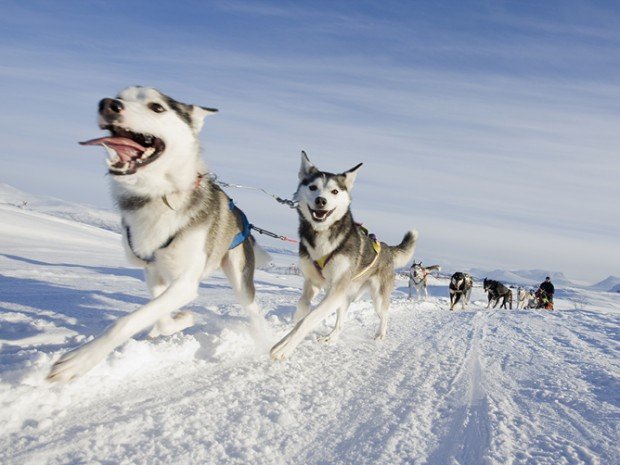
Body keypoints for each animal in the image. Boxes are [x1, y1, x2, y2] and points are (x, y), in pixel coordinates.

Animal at [46, 86, 264, 380]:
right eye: (120, 96)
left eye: (157, 107)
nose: (108, 104)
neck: (158, 196)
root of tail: (242, 218)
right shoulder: (153, 271)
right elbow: (159, 315)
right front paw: (182, 319)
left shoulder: (184, 283)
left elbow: (127, 321)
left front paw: (80, 359)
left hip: (240, 278)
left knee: (255, 312)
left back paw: (267, 342)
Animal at [268, 152, 416, 358]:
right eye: (312, 187)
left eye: (335, 191)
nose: (321, 200)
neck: (323, 235)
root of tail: (386, 247)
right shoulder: (312, 282)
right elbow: (303, 306)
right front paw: (292, 324)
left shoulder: (335, 289)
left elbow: (310, 319)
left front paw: (284, 347)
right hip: (345, 296)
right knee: (340, 323)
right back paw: (331, 337)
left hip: (375, 298)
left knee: (385, 314)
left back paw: (380, 334)